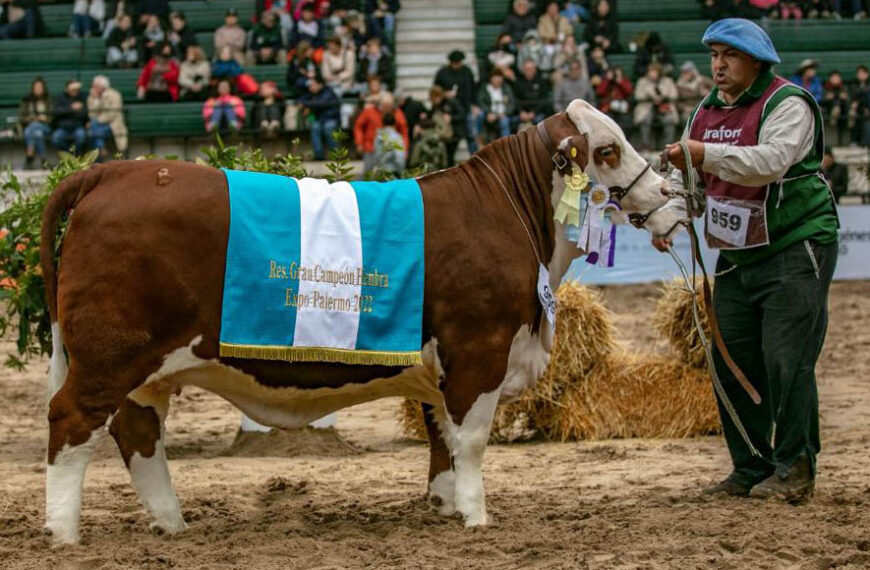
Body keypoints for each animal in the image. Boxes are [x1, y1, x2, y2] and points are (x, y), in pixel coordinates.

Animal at [39, 100, 680, 544]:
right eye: (608, 150)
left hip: (147, 367)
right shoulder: (480, 349)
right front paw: (476, 516)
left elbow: (440, 437)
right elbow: (470, 440)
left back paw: (170, 524)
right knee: (72, 422)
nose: (668, 196)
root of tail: (112, 173)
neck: (509, 213)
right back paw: (63, 532)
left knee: (139, 434)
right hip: (110, 355)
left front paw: (443, 506)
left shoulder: (439, 366)